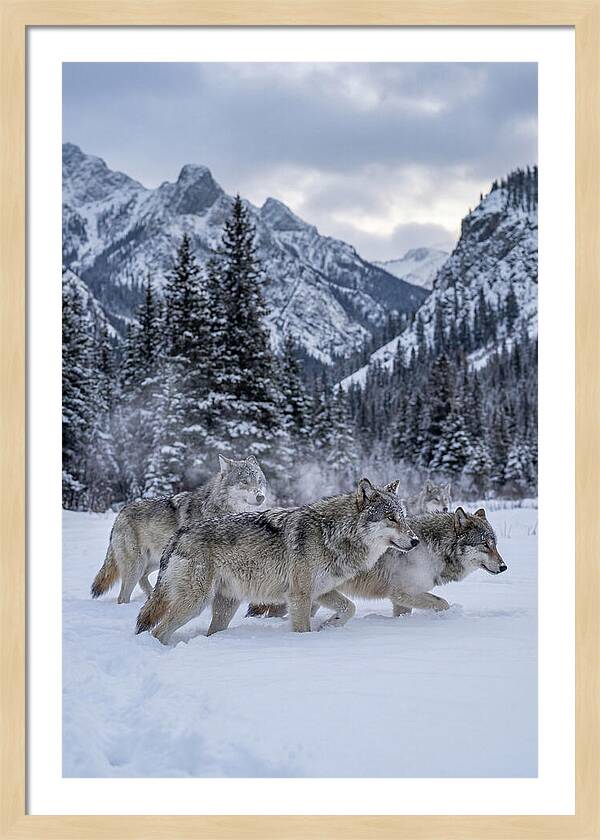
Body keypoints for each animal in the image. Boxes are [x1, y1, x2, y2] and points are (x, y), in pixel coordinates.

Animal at [91, 454, 267, 604]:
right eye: (244, 481)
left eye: (259, 481)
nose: (261, 497)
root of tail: (120, 512)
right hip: (136, 566)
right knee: (123, 596)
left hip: (156, 562)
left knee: (143, 579)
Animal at [135, 478, 419, 643]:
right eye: (391, 518)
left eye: (403, 517)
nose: (415, 540)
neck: (332, 533)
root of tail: (179, 534)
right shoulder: (300, 595)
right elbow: (303, 628)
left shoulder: (321, 591)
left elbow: (350, 607)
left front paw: (329, 625)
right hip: (195, 603)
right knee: (158, 631)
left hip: (226, 605)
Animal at [339, 507, 507, 616]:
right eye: (485, 544)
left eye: (495, 545)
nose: (504, 567)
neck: (434, 549)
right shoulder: (403, 593)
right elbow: (443, 603)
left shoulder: (401, 600)